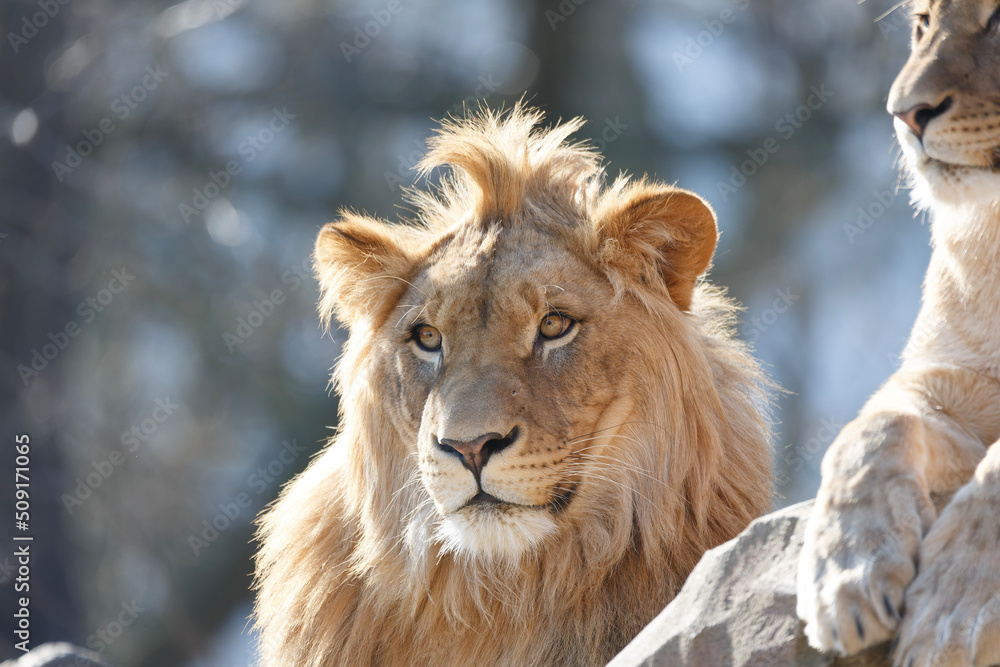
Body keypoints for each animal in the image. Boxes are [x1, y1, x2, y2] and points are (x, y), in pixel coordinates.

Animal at [797, 2, 1000, 666]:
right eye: (922, 23)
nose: (905, 114)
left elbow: (998, 479)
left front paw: (952, 617)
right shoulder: (951, 376)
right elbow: (872, 429)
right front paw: (845, 580)